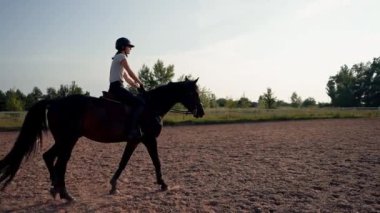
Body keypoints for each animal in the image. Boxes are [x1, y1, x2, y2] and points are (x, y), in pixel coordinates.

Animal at [0, 78, 205, 201]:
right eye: (193, 93)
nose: (201, 112)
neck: (150, 106)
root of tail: (55, 101)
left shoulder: (134, 141)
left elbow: (124, 162)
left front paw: (113, 185)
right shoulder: (148, 139)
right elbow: (156, 161)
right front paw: (163, 184)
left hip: (63, 140)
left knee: (49, 157)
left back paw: (55, 188)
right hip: (68, 140)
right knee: (60, 163)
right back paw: (65, 194)